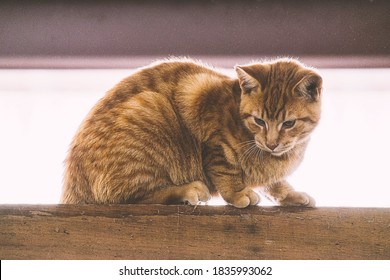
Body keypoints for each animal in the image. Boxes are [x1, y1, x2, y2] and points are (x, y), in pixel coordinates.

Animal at [61, 57, 322, 208]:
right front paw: (238, 193)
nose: (271, 143)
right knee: (131, 198)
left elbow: (275, 183)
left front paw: (290, 195)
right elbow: (226, 171)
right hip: (151, 109)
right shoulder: (215, 143)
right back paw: (187, 189)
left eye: (288, 123)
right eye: (259, 121)